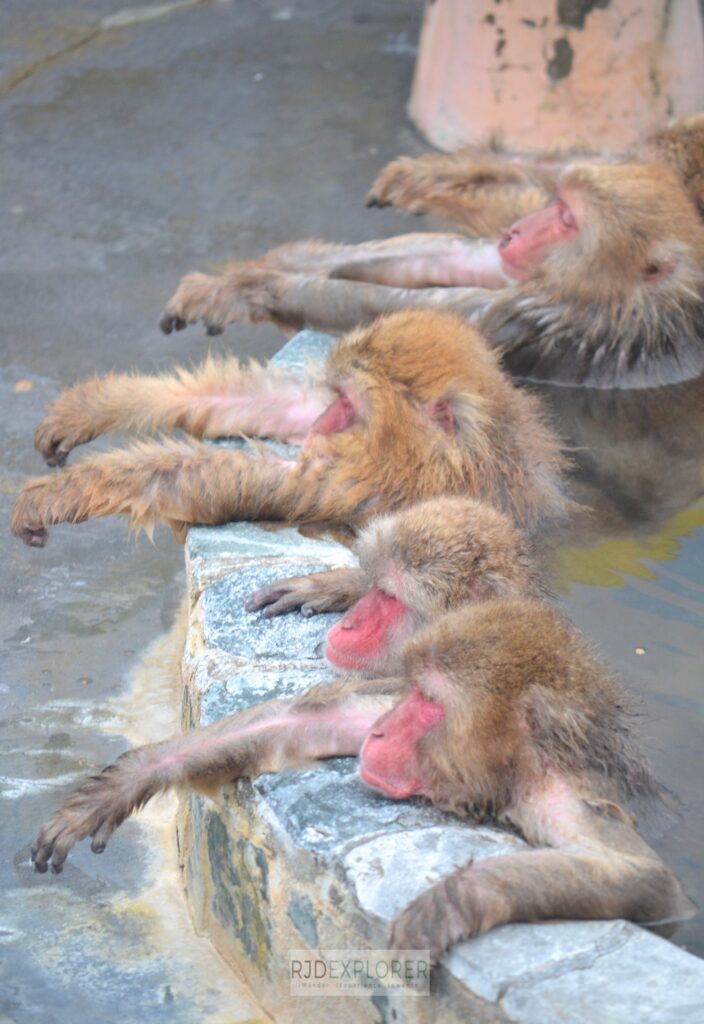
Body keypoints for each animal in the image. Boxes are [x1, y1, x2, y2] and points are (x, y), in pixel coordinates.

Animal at [12, 311, 570, 548]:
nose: (325, 423)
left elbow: (225, 477)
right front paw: (91, 407)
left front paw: (51, 496)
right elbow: (276, 404)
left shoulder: (380, 480)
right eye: (338, 399)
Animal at [29, 597, 695, 961]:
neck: (511, 769)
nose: (381, 735)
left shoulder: (559, 793)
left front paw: (452, 900)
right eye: (414, 692)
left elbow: (650, 882)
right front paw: (119, 786)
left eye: (430, 704)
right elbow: (307, 720)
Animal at [160, 161, 704, 388]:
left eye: (568, 219)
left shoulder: (546, 314)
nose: (516, 231)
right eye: (557, 202)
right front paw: (267, 268)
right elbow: (451, 258)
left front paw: (249, 289)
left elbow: (416, 323)